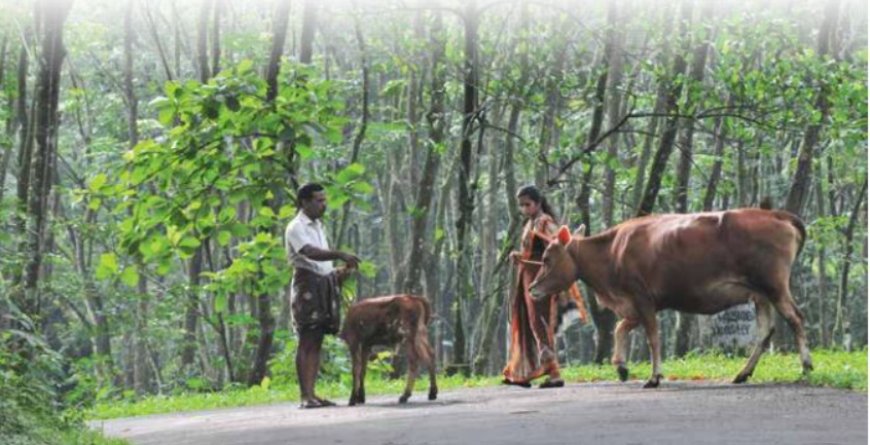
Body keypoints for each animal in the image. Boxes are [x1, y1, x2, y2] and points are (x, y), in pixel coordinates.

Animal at [528, 207, 816, 386]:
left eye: (546, 257)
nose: (531, 288)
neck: (612, 252)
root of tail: (777, 214)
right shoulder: (636, 304)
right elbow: (620, 328)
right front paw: (621, 366)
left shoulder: (641, 297)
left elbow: (652, 338)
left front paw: (654, 377)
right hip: (760, 294)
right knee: (766, 330)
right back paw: (743, 373)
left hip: (774, 286)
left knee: (796, 318)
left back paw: (806, 367)